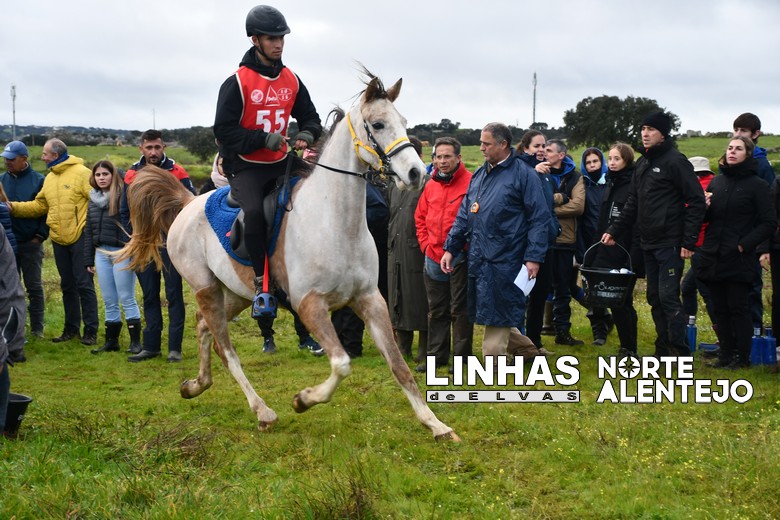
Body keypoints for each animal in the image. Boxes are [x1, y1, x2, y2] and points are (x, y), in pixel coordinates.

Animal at [117, 71, 459, 442]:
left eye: (405, 122)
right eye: (379, 124)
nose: (416, 174)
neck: (337, 223)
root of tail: (188, 201)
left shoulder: (370, 299)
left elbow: (399, 366)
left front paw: (436, 425)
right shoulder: (309, 304)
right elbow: (342, 364)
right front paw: (304, 399)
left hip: (237, 293)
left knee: (204, 328)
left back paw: (195, 385)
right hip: (206, 288)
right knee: (227, 349)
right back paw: (262, 411)